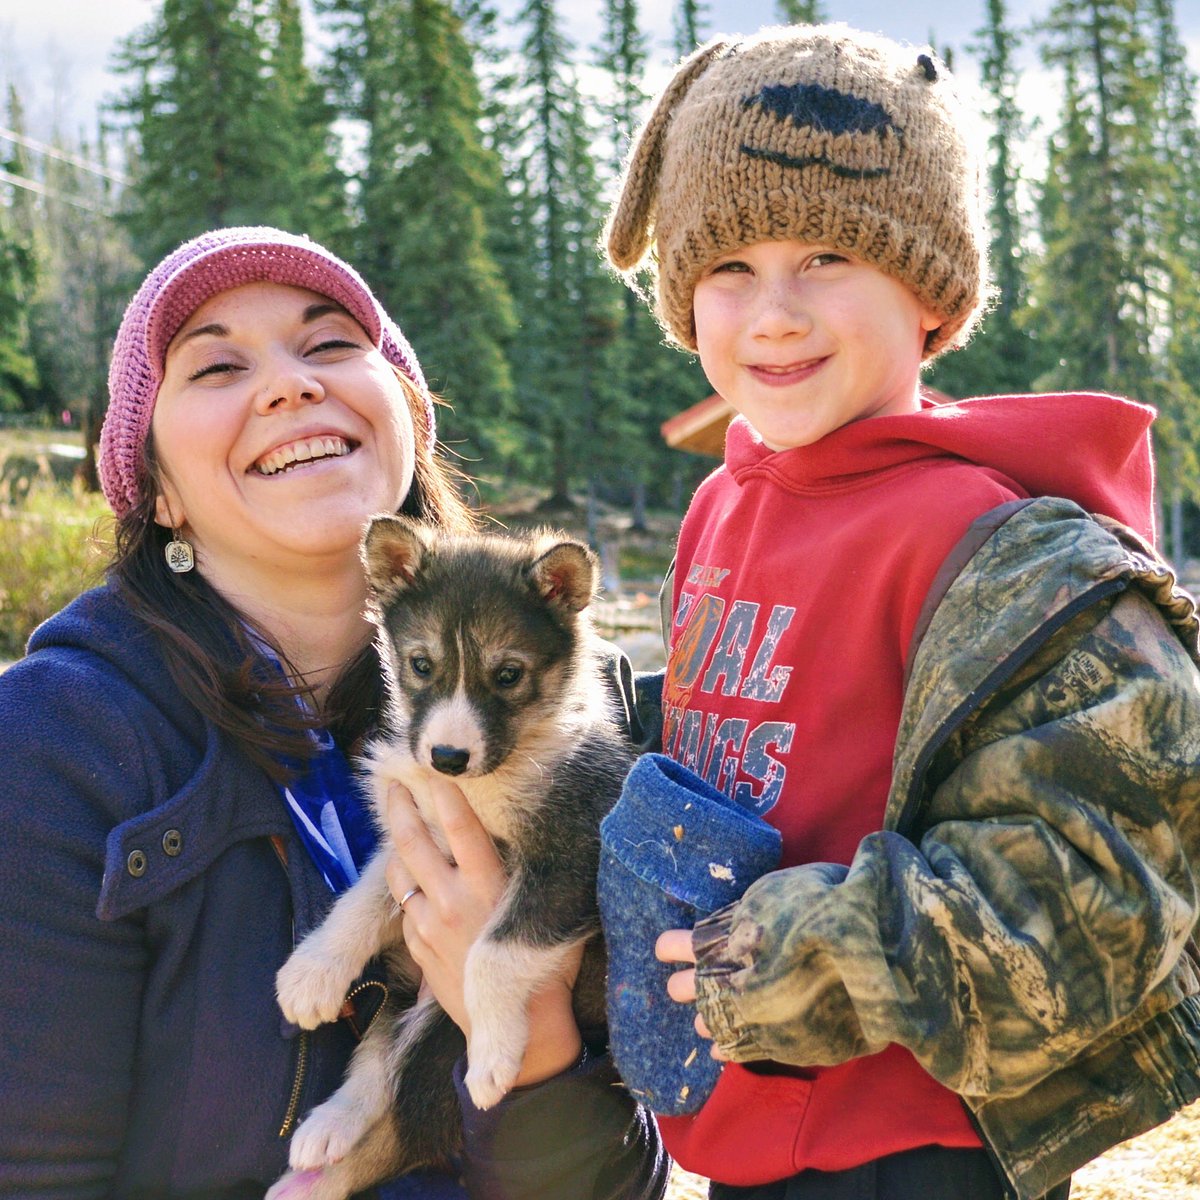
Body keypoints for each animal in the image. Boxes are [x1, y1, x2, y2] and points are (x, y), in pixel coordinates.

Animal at [267, 516, 633, 1200]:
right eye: (420, 664)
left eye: (509, 674)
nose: (446, 758)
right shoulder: (416, 840)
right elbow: (363, 899)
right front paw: (312, 972)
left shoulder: (575, 853)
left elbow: (492, 953)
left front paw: (493, 1059)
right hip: (411, 996)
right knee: (378, 1058)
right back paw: (324, 1129)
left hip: (437, 1029)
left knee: (401, 1115)